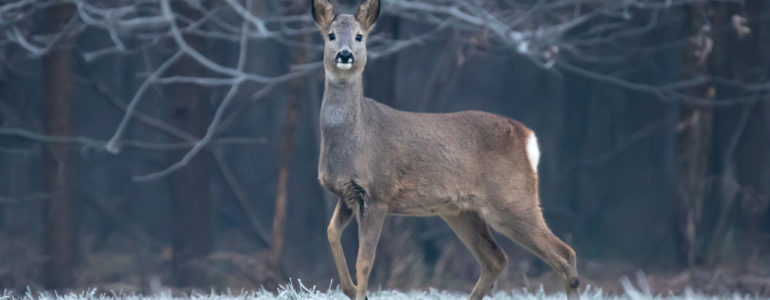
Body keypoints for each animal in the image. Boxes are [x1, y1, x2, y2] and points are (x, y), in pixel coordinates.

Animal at [310, 0, 576, 300]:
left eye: (359, 37)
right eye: (330, 35)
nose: (345, 55)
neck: (354, 136)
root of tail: (528, 138)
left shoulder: (379, 192)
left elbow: (365, 261)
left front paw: (361, 292)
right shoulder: (347, 194)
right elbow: (331, 233)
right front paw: (352, 289)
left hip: (513, 199)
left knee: (564, 254)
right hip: (461, 211)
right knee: (496, 259)